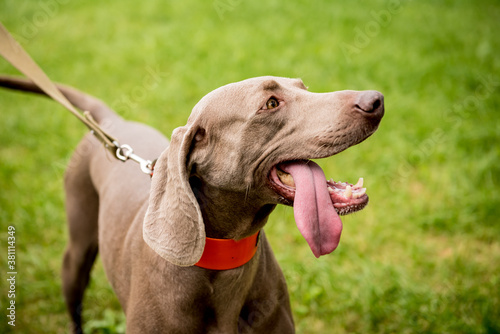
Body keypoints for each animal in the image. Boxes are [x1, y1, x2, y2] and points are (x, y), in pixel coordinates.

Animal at [0, 74, 384, 332]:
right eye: (271, 103)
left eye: (303, 86)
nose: (376, 99)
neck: (224, 257)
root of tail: (111, 121)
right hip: (77, 251)